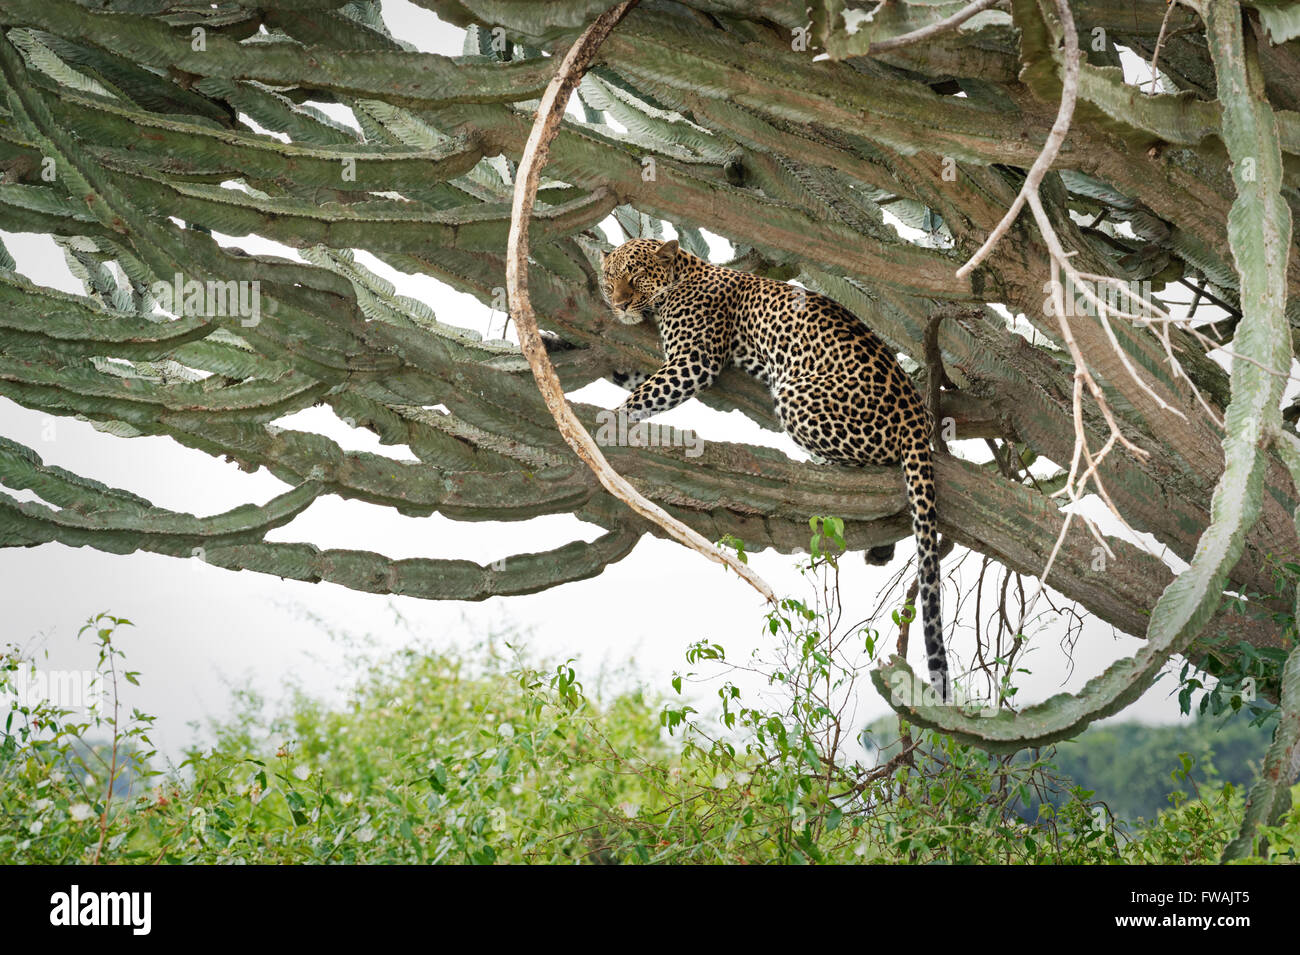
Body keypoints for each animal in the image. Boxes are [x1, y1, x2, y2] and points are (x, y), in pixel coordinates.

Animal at [603, 239, 951, 701]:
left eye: (636, 276)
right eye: (610, 278)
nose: (618, 302)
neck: (682, 275)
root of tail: (917, 415)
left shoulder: (693, 361)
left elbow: (642, 396)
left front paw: (603, 421)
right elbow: (633, 379)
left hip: (795, 395)